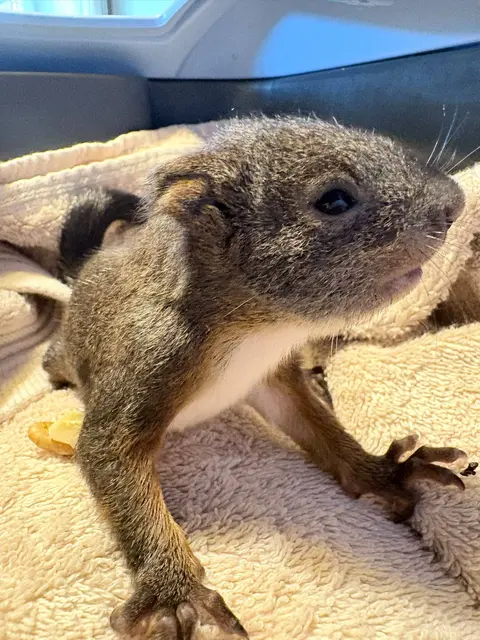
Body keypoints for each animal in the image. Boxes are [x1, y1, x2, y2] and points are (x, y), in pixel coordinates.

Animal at [43, 116, 467, 639]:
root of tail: (84, 271)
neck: (256, 328)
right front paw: (172, 590)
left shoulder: (270, 379)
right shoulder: (146, 362)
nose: (455, 202)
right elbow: (109, 452)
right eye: (334, 200)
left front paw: (383, 473)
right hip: (67, 352)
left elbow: (316, 426)